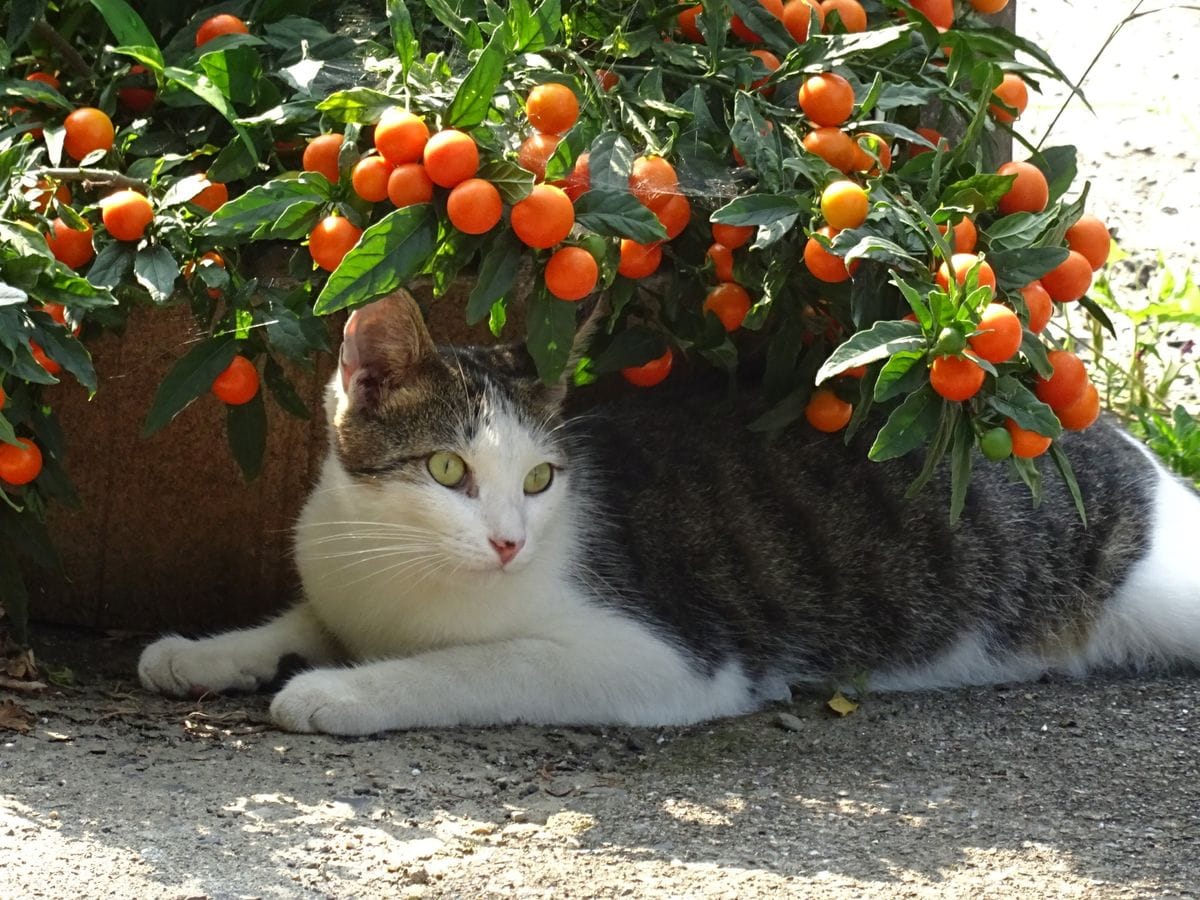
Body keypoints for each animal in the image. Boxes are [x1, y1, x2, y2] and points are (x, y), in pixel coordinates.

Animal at [138, 292, 1200, 734]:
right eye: (446, 468)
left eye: (540, 480)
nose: (509, 543)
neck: (397, 571)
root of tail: (1112, 434)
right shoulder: (340, 575)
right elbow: (303, 620)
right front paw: (207, 652)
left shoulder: (667, 656)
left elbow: (473, 666)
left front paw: (341, 692)